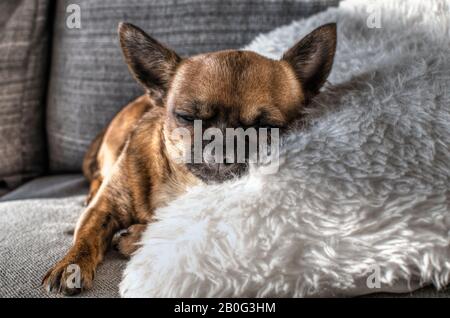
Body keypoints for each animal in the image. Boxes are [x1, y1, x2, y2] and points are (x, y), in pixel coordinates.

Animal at [42, 21, 336, 296]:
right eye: (187, 117)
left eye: (266, 127)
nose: (222, 149)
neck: (183, 184)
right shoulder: (105, 208)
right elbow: (87, 236)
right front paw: (70, 266)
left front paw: (134, 236)